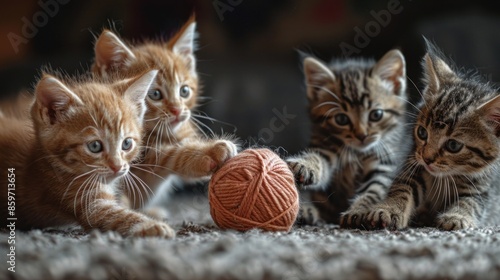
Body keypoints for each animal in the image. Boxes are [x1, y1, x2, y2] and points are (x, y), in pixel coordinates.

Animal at [0, 70, 176, 238]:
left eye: (127, 144)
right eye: (95, 146)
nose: (117, 167)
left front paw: (149, 212)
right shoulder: (81, 199)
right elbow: (114, 215)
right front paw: (150, 225)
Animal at [288, 49, 408, 228]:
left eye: (376, 115)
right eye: (341, 119)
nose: (362, 135)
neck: (356, 152)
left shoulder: (385, 162)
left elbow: (374, 189)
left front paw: (358, 211)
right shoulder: (326, 146)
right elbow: (317, 159)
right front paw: (305, 164)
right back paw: (306, 210)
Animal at [364, 41, 500, 230]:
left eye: (453, 145)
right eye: (422, 133)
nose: (427, 159)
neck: (446, 177)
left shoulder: (483, 186)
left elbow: (471, 202)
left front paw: (456, 216)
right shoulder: (414, 165)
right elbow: (402, 187)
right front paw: (388, 208)